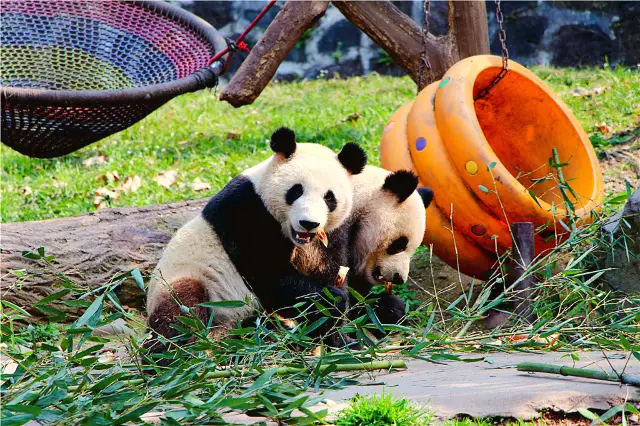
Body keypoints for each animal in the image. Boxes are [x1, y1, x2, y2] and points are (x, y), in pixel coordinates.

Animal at [145, 127, 367, 353]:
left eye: (329, 198)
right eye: (296, 191)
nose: (308, 223)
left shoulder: (332, 235)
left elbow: (329, 270)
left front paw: (341, 337)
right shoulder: (246, 211)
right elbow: (270, 274)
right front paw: (331, 301)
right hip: (189, 280)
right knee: (182, 310)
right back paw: (179, 350)